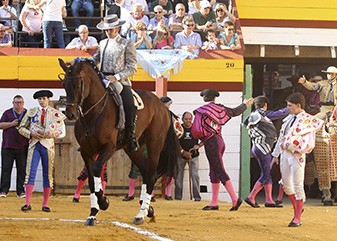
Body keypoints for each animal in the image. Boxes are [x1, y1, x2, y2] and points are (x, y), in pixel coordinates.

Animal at [58, 58, 178, 226]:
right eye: (64, 84)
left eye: (77, 84)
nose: (70, 114)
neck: (94, 112)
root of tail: (162, 106)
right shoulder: (86, 151)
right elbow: (91, 179)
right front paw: (92, 213)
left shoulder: (108, 147)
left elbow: (96, 170)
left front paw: (103, 202)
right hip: (133, 149)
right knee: (145, 170)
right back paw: (147, 209)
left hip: (154, 145)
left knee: (152, 174)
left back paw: (141, 214)